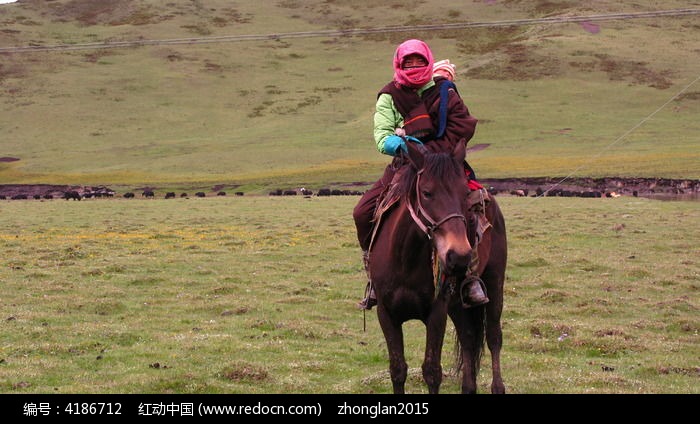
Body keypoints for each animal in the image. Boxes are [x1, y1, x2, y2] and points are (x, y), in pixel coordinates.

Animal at [366, 140, 508, 394]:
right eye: (427, 192)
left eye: (464, 195)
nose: (459, 256)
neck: (406, 258)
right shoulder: (386, 313)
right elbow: (397, 369)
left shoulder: (437, 312)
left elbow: (432, 371)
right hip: (458, 303)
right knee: (468, 338)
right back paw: (468, 387)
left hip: (494, 282)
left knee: (493, 337)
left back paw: (497, 387)